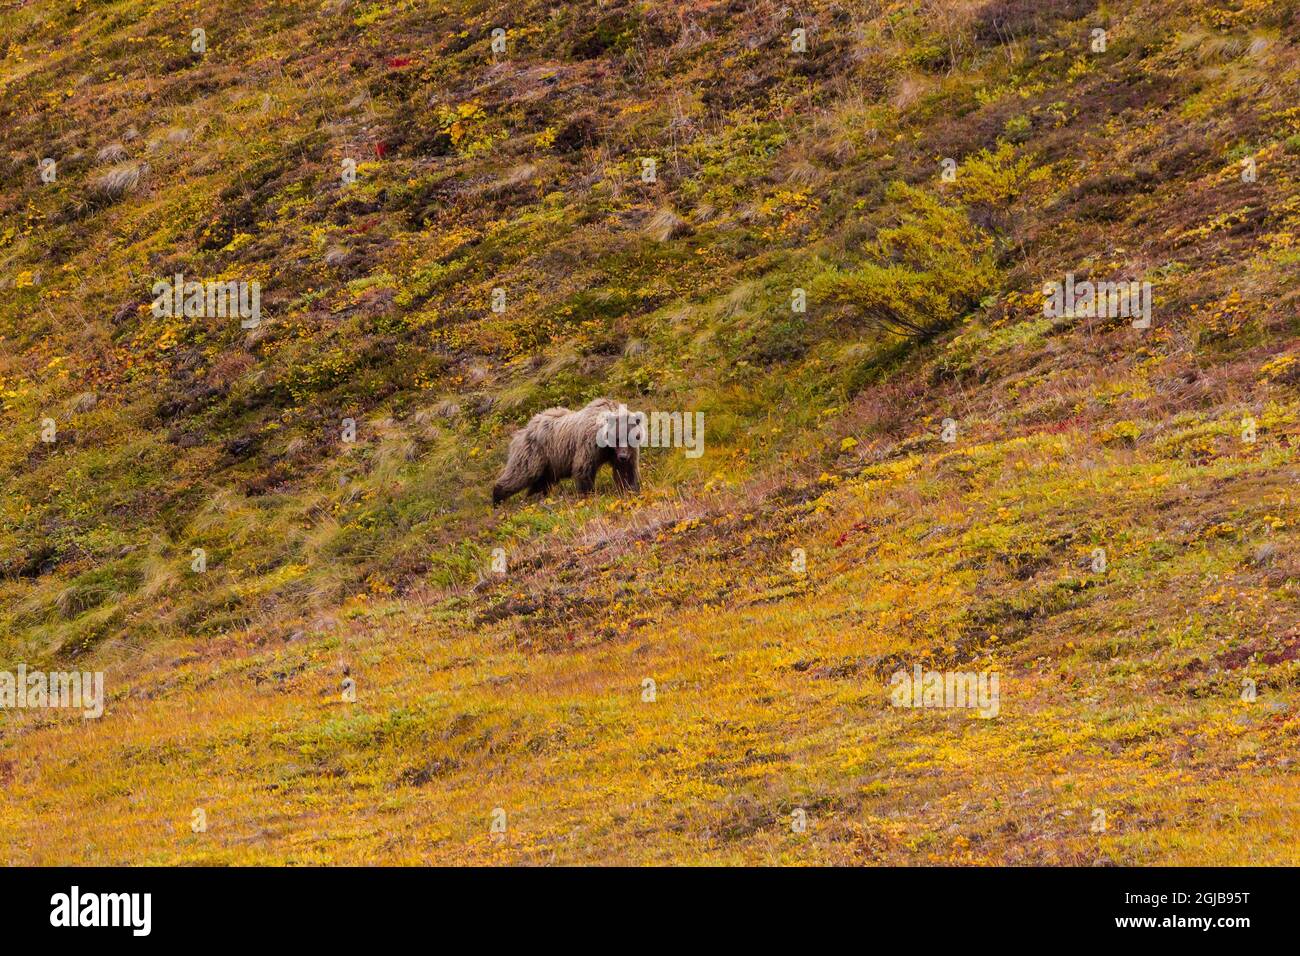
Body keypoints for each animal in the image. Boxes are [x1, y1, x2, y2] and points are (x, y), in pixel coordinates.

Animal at [492, 398, 641, 504]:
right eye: (617, 438)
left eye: (630, 438)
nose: (623, 456)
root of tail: (522, 430)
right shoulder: (589, 444)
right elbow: (583, 468)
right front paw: (588, 494)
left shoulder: (624, 453)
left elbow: (625, 471)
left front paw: (630, 489)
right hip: (533, 452)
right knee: (522, 473)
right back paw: (497, 498)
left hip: (549, 464)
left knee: (541, 482)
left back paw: (534, 497)